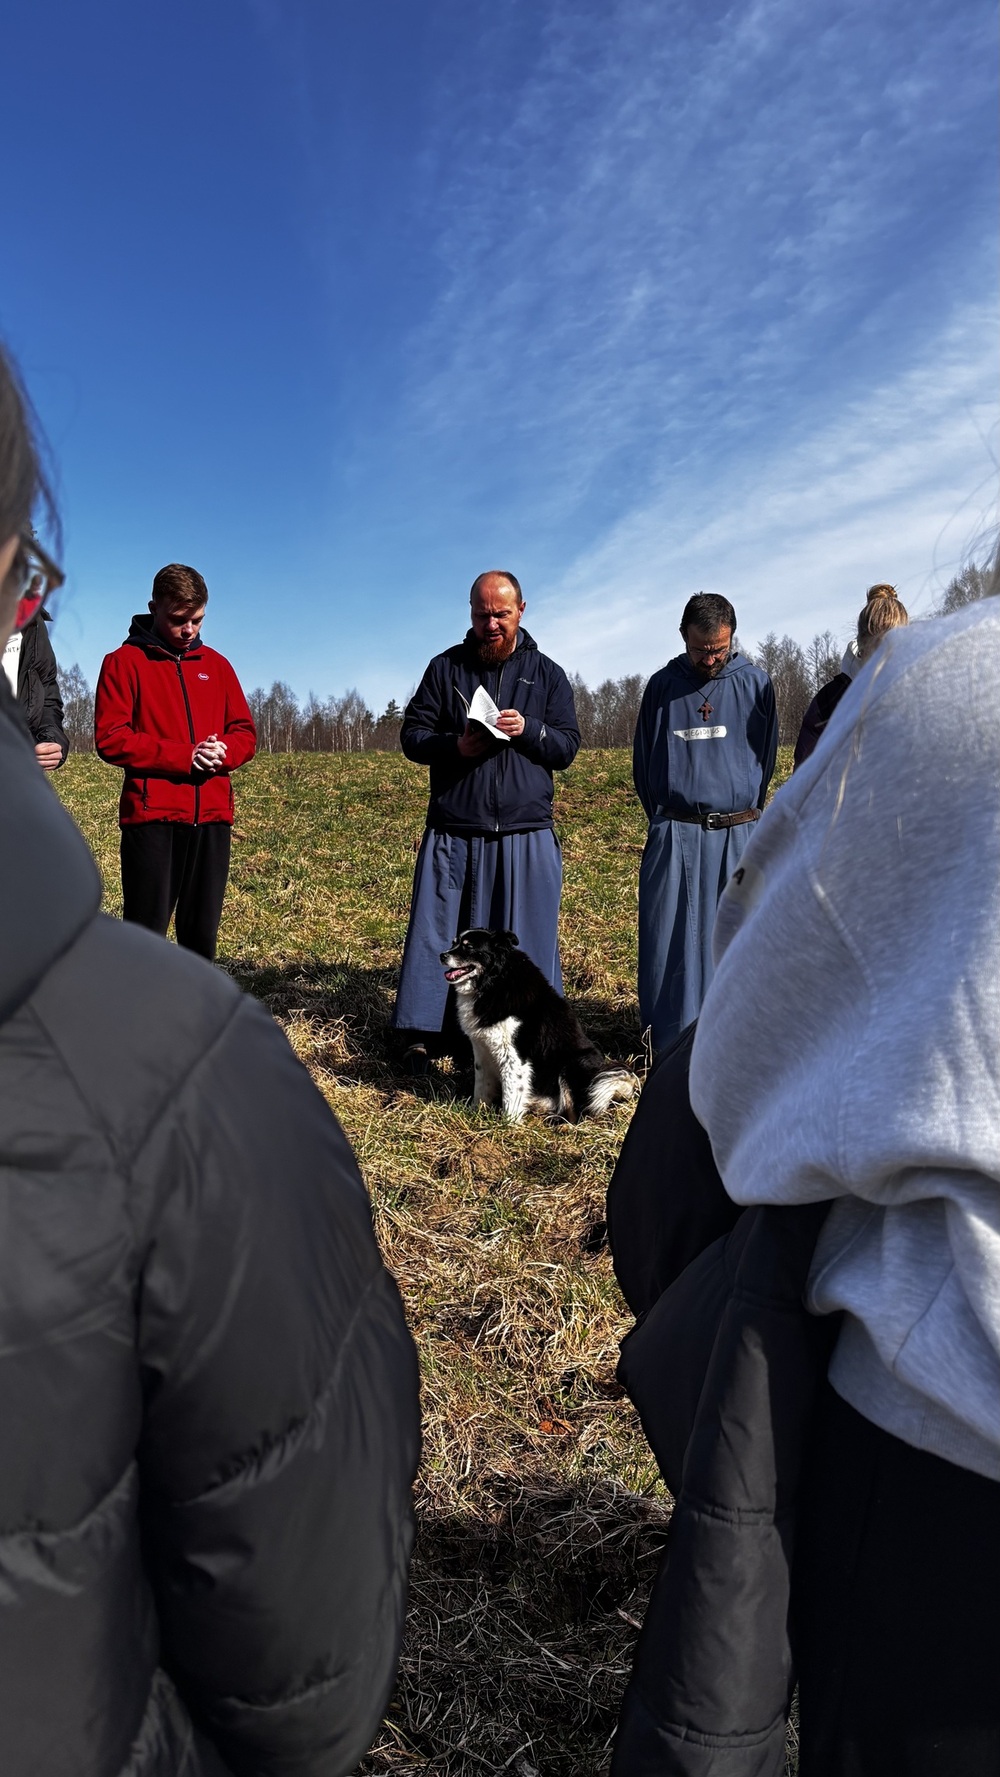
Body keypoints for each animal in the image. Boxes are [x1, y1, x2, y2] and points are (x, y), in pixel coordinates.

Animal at [440, 927, 636, 1124]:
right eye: (454, 943)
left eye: (469, 947)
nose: (442, 955)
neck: (494, 983)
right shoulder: (482, 1049)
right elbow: (482, 1087)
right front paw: (476, 1113)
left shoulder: (514, 1056)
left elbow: (512, 1094)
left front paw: (508, 1124)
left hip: (573, 1065)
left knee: (578, 1113)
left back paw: (564, 1125)